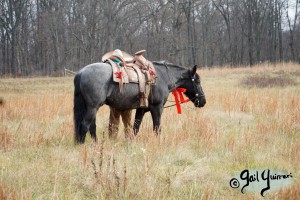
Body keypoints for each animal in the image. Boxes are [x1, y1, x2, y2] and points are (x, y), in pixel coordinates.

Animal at [74, 61, 206, 144]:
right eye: (197, 81)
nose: (203, 101)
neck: (162, 77)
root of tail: (81, 72)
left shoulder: (141, 110)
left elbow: (135, 128)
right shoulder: (157, 108)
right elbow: (157, 128)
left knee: (91, 127)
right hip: (92, 107)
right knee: (85, 125)